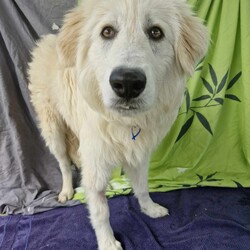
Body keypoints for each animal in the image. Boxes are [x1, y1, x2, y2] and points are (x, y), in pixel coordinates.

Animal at [27, 0, 209, 249]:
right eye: (107, 31)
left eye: (156, 32)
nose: (128, 83)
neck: (124, 122)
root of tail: (47, 40)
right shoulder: (95, 166)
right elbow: (101, 212)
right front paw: (107, 242)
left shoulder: (140, 155)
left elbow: (142, 187)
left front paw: (149, 209)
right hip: (53, 129)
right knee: (63, 163)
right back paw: (66, 191)